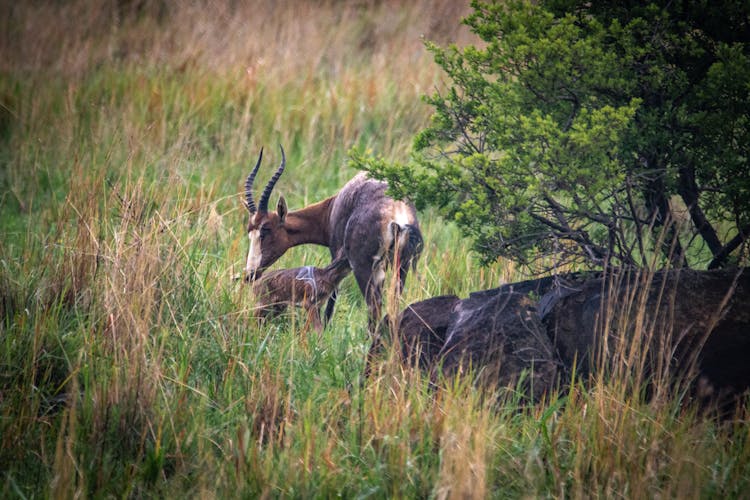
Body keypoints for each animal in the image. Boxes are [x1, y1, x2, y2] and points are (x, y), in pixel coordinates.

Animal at [242, 145, 424, 332]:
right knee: (393, 305)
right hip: (401, 267)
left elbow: (331, 300)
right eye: (250, 231)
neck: (333, 207)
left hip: (364, 268)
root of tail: (397, 213)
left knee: (374, 306)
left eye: (266, 230)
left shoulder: (336, 253)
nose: (250, 274)